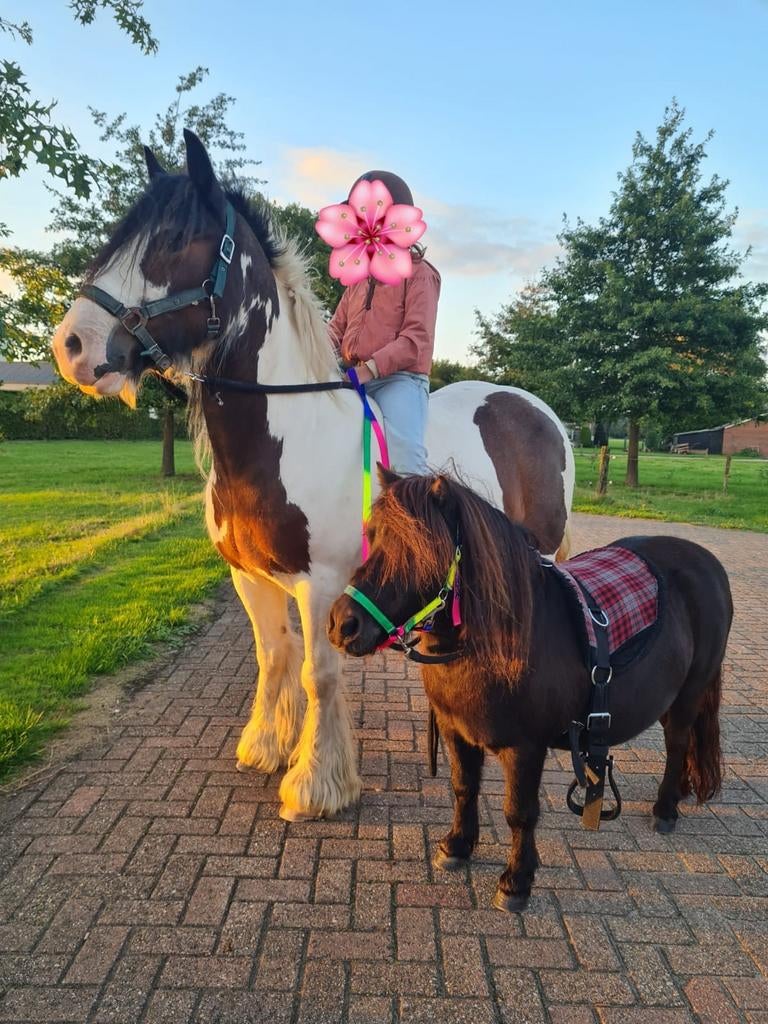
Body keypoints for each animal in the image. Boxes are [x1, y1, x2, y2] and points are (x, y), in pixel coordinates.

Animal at [51, 129, 575, 821]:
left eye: (174, 240)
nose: (72, 346)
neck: (284, 437)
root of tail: (540, 411)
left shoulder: (322, 583)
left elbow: (316, 673)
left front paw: (315, 784)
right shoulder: (249, 578)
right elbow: (274, 656)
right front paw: (266, 746)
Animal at [328, 469, 732, 911]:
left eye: (422, 547)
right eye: (372, 535)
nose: (342, 625)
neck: (494, 644)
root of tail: (708, 561)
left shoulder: (525, 748)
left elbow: (519, 812)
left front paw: (516, 881)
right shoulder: (456, 733)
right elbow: (463, 787)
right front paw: (457, 845)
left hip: (689, 695)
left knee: (678, 744)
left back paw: (666, 808)